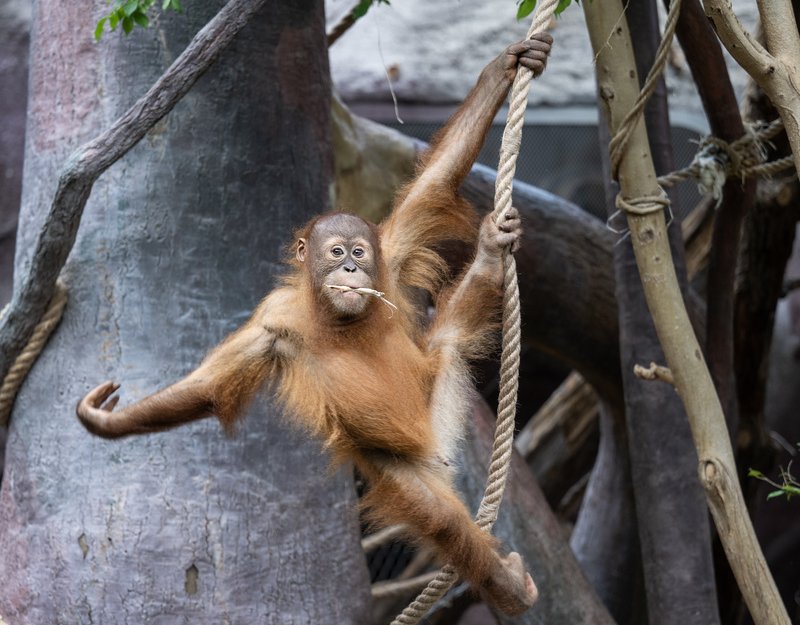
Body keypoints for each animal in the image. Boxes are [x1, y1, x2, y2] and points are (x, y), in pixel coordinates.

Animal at [77, 33, 552, 616]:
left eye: (358, 253)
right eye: (335, 253)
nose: (350, 269)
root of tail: (433, 442)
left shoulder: (390, 255)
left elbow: (432, 187)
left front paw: (502, 68)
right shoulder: (271, 323)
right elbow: (208, 387)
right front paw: (106, 422)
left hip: (437, 390)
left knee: (449, 338)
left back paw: (487, 254)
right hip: (395, 463)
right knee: (440, 517)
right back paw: (505, 582)